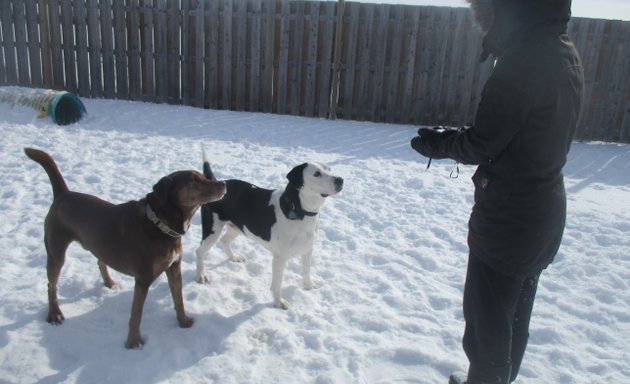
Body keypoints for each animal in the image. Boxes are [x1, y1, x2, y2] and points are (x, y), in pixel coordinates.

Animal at [25, 147, 227, 348]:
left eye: (203, 176)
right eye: (193, 180)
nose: (224, 183)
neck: (160, 225)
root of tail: (63, 194)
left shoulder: (174, 267)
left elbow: (179, 299)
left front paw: (183, 321)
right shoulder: (143, 278)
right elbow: (136, 314)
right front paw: (133, 342)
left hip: (98, 243)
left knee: (100, 261)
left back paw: (109, 282)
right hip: (56, 249)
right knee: (51, 285)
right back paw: (54, 314)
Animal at [198, 150, 346, 308]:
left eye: (329, 169)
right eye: (317, 174)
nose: (340, 180)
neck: (299, 209)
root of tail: (215, 183)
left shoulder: (307, 249)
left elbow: (306, 271)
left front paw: (308, 286)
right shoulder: (280, 258)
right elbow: (277, 284)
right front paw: (278, 303)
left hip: (237, 227)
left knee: (225, 240)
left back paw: (234, 257)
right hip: (212, 231)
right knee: (199, 251)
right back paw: (200, 275)